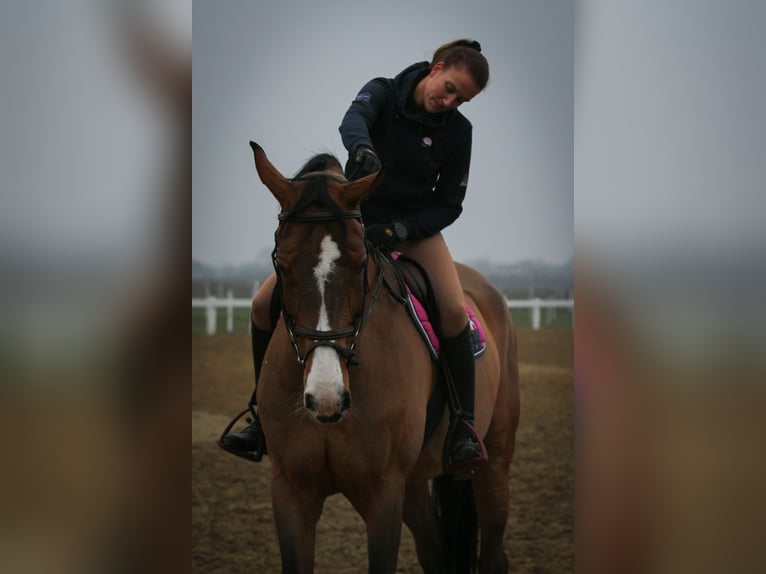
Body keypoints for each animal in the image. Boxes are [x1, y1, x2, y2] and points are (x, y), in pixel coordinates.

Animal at [249, 141, 520, 574]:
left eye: (361, 263)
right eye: (283, 266)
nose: (326, 399)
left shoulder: (384, 493)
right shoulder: (291, 490)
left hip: (493, 459)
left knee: (494, 553)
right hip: (415, 483)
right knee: (436, 548)